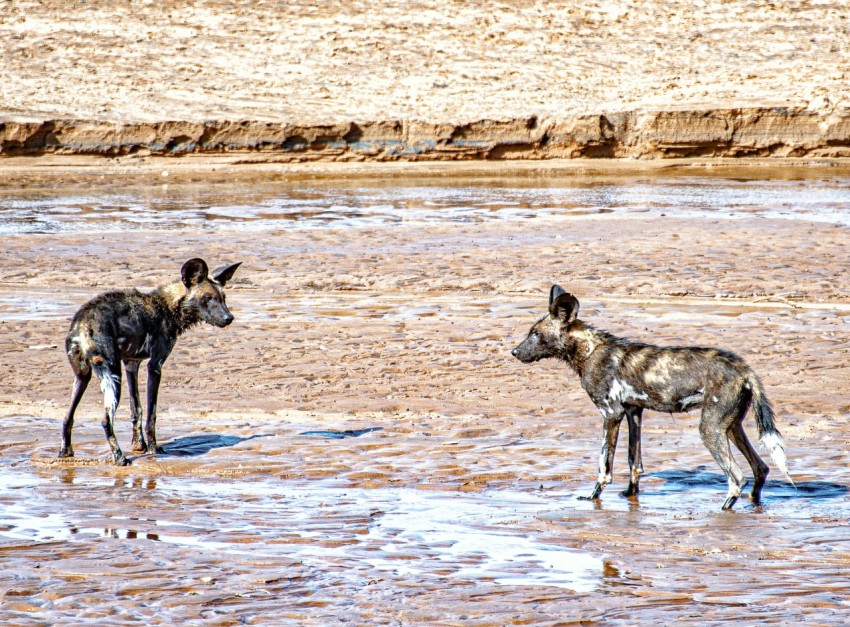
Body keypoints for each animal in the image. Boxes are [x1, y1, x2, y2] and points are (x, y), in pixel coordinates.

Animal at [60, 258, 240, 466]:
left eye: (223, 298)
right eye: (208, 298)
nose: (229, 318)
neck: (168, 307)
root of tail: (82, 323)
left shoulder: (131, 364)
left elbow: (136, 409)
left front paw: (139, 445)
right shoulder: (155, 366)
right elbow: (151, 415)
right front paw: (153, 448)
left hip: (83, 377)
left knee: (67, 416)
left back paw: (65, 452)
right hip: (113, 376)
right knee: (106, 421)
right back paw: (120, 458)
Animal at [512, 284, 792, 510]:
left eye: (536, 334)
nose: (514, 351)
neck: (589, 350)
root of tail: (745, 369)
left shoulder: (610, 414)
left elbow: (604, 465)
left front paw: (593, 497)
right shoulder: (633, 411)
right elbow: (633, 461)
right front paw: (630, 495)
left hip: (709, 429)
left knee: (737, 477)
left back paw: (724, 509)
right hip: (732, 427)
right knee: (760, 468)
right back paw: (754, 504)